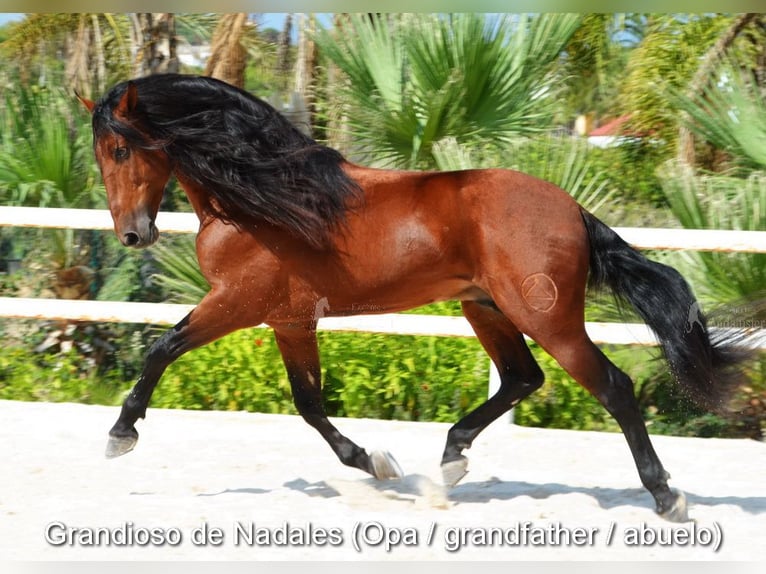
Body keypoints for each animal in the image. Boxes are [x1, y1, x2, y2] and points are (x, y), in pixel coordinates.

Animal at [81, 74, 748, 524]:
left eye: (121, 149)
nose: (133, 235)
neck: (258, 202)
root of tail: (571, 209)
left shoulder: (237, 304)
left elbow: (163, 348)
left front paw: (120, 435)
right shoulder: (290, 321)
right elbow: (308, 403)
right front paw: (374, 460)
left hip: (547, 317)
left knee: (611, 386)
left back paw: (666, 496)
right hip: (484, 308)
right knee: (522, 377)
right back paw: (451, 459)